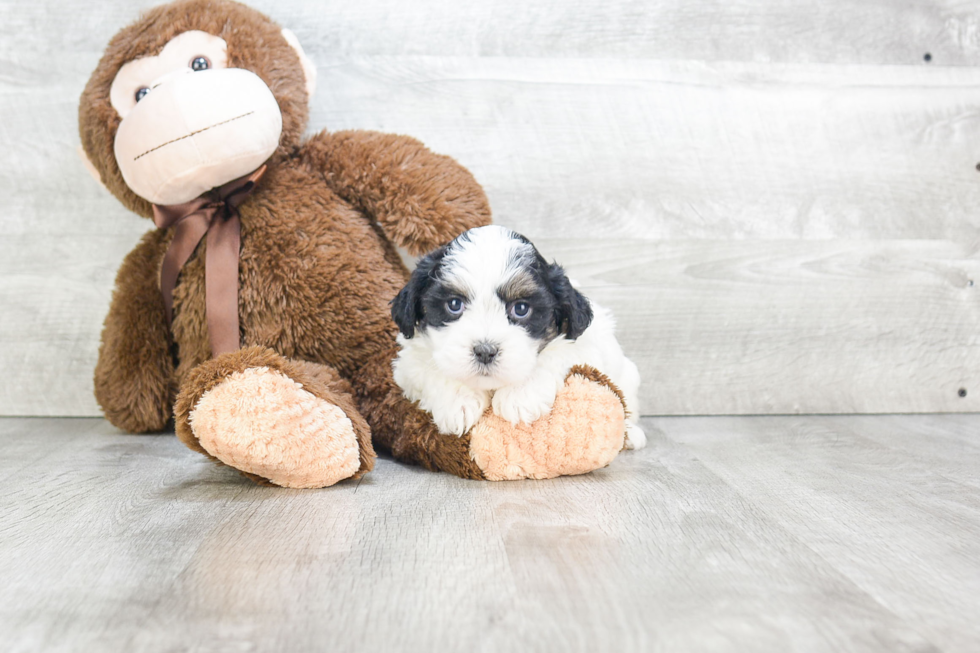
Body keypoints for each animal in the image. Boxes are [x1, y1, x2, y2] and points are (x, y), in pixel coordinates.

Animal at [386, 225, 648, 448]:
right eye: (454, 304)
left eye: (521, 308)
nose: (485, 351)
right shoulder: (409, 364)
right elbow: (431, 368)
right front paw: (458, 401)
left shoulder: (584, 344)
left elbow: (553, 356)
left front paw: (520, 395)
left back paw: (632, 434)